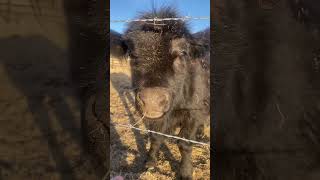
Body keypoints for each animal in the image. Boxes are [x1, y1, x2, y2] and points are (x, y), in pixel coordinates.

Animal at [112, 6, 210, 179]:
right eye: (132, 55)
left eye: (182, 53)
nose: (152, 100)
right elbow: (155, 136)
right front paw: (150, 162)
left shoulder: (194, 112)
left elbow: (184, 143)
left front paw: (185, 172)